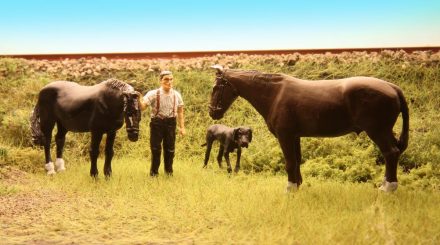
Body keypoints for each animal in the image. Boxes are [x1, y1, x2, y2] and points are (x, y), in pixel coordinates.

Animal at [208, 65, 408, 191]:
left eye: (216, 88)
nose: (212, 112)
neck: (275, 94)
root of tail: (392, 87)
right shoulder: (295, 136)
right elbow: (297, 161)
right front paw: (298, 185)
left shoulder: (285, 136)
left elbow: (289, 162)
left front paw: (290, 188)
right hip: (385, 132)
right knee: (393, 153)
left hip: (378, 132)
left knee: (390, 153)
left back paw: (388, 188)